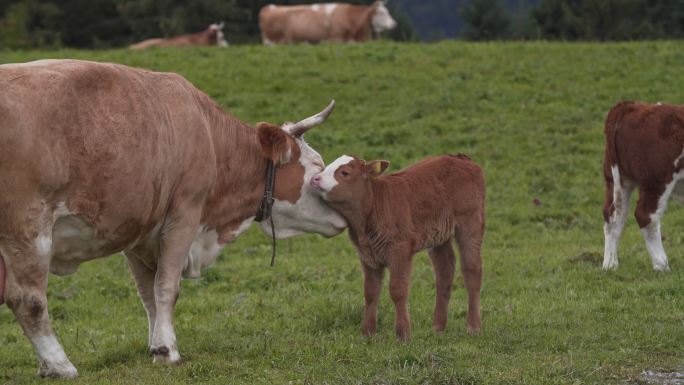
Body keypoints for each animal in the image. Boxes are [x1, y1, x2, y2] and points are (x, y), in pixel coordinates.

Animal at [0, 58, 344, 376]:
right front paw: (168, 350)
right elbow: (167, 287)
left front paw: (155, 344)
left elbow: (148, 294)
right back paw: (59, 365)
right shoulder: (184, 216)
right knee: (27, 299)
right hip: (28, 230)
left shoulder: (138, 233)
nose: (342, 216)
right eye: (317, 168)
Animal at [258, 1, 398, 44]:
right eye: (381, 12)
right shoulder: (335, 39)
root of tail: (269, 7)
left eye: (386, 11)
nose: (394, 24)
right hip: (271, 42)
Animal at [310, 153, 486, 340]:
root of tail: (460, 157)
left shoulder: (400, 249)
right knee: (445, 270)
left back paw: (474, 327)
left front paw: (403, 334)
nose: (315, 178)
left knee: (472, 270)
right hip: (439, 234)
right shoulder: (367, 254)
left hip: (471, 221)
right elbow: (370, 292)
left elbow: (398, 290)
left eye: (345, 172)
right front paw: (367, 333)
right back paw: (438, 326)